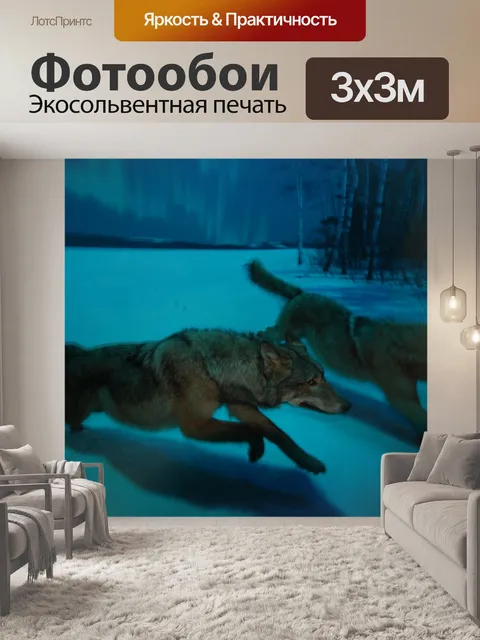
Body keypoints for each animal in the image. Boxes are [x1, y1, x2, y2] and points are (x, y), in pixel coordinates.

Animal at [65, 329, 351, 475]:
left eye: (323, 376)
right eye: (311, 381)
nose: (348, 407)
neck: (212, 368)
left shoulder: (239, 406)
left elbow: (278, 433)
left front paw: (308, 462)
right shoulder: (195, 425)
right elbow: (250, 430)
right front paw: (256, 450)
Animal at [247, 260, 427, 439]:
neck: (401, 349)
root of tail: (303, 293)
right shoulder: (402, 399)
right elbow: (421, 419)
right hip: (282, 332)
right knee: (265, 333)